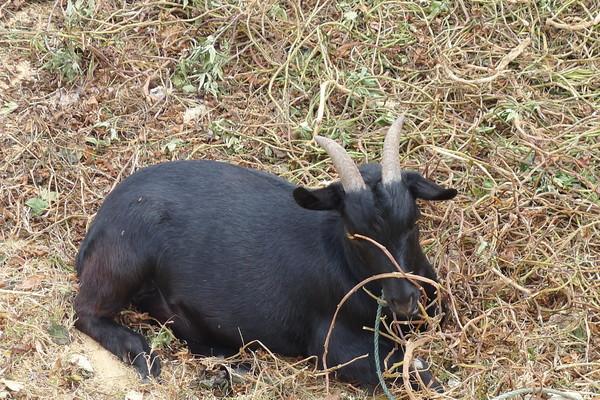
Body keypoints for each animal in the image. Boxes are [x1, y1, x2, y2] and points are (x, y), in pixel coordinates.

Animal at [75, 116, 458, 390]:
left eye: (413, 221)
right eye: (355, 233)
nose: (404, 300)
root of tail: (100, 221)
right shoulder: (334, 344)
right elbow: (416, 374)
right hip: (124, 260)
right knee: (85, 313)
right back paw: (144, 354)